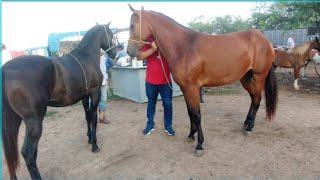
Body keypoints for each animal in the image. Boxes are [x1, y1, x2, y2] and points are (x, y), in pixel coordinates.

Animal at [1, 22, 117, 179]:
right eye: (111, 34)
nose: (114, 53)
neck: (86, 57)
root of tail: (6, 69)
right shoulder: (95, 93)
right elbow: (93, 118)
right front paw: (94, 145)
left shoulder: (84, 96)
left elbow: (87, 116)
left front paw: (88, 138)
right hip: (34, 122)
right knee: (28, 154)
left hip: (14, 120)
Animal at [127, 4, 278, 156]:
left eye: (132, 26)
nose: (130, 52)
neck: (183, 47)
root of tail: (264, 38)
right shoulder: (185, 88)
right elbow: (190, 112)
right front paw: (191, 135)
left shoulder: (193, 88)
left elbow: (197, 115)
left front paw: (199, 145)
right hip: (245, 78)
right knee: (253, 98)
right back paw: (246, 122)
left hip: (259, 76)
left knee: (257, 100)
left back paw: (249, 128)